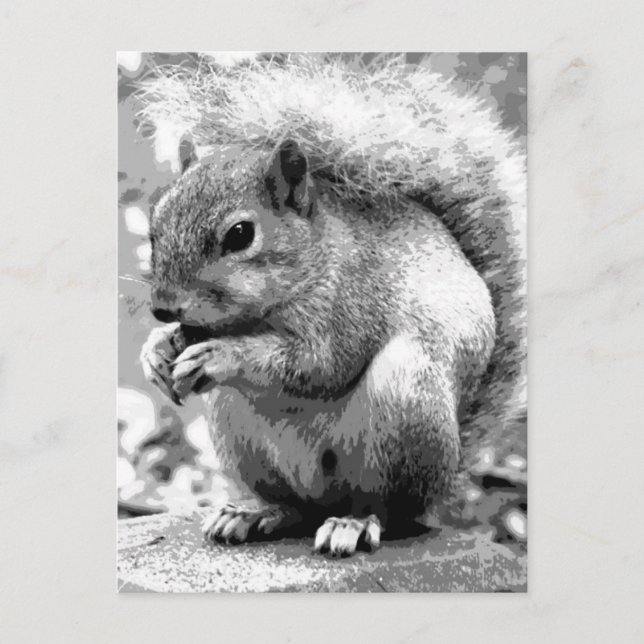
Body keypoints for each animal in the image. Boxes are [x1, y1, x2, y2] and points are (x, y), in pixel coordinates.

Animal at [137, 54, 526, 556]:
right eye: (155, 225)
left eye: (240, 234)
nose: (163, 308)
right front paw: (156, 350)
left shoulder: (353, 304)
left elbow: (320, 365)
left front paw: (223, 355)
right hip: (235, 425)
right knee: (296, 508)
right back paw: (256, 513)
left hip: (406, 401)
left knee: (386, 508)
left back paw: (354, 524)